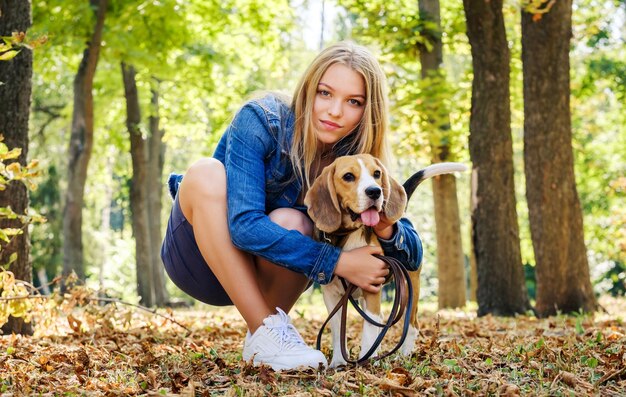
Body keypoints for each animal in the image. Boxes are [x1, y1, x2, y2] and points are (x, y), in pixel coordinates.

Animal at [302, 153, 464, 366]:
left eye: (377, 174)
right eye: (348, 176)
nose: (375, 191)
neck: (349, 235)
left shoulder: (372, 289)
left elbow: (369, 330)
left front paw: (365, 363)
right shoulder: (331, 294)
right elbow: (337, 329)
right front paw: (337, 362)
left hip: (409, 288)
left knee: (411, 325)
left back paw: (403, 355)